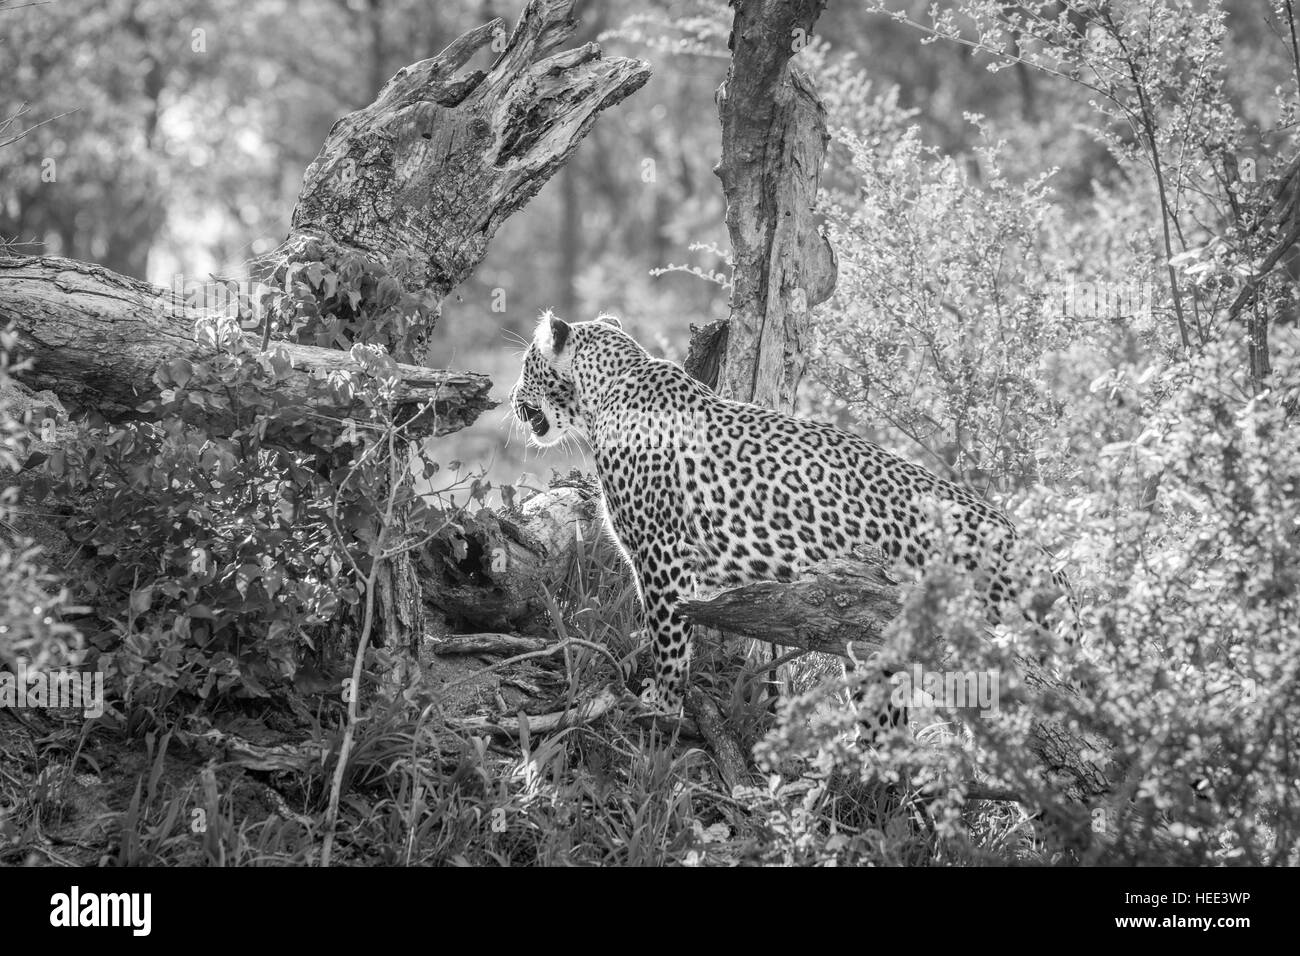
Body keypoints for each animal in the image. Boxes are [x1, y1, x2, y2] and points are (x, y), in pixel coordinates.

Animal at [506, 314, 1076, 717]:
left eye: (526, 366)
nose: (510, 399)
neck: (609, 389)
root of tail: (1051, 564)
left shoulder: (663, 555)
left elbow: (668, 637)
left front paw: (661, 703)